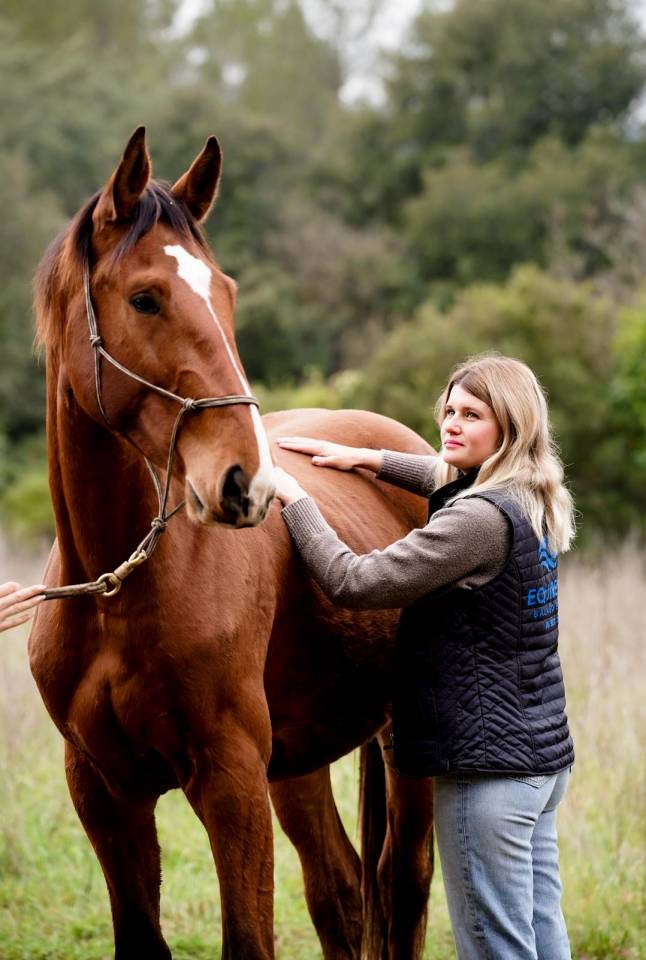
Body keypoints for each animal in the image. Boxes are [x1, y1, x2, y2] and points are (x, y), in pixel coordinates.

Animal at [29, 127, 435, 960]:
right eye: (145, 297)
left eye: (227, 294)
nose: (247, 481)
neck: (116, 593)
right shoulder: (106, 793)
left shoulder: (230, 781)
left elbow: (249, 940)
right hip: (299, 765)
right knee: (342, 891)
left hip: (401, 754)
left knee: (402, 888)